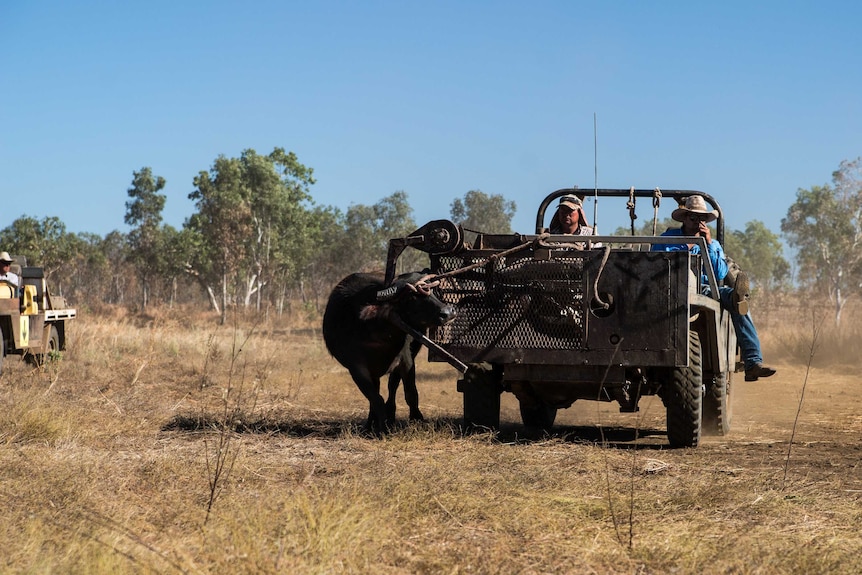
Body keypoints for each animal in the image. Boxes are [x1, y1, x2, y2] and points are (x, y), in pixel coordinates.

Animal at [324, 274, 460, 432]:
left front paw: (417, 419)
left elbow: (411, 393)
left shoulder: (406, 360)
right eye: (411, 297)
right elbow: (376, 399)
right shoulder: (356, 369)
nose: (448, 312)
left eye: (431, 290)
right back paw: (372, 423)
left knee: (392, 386)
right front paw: (382, 426)